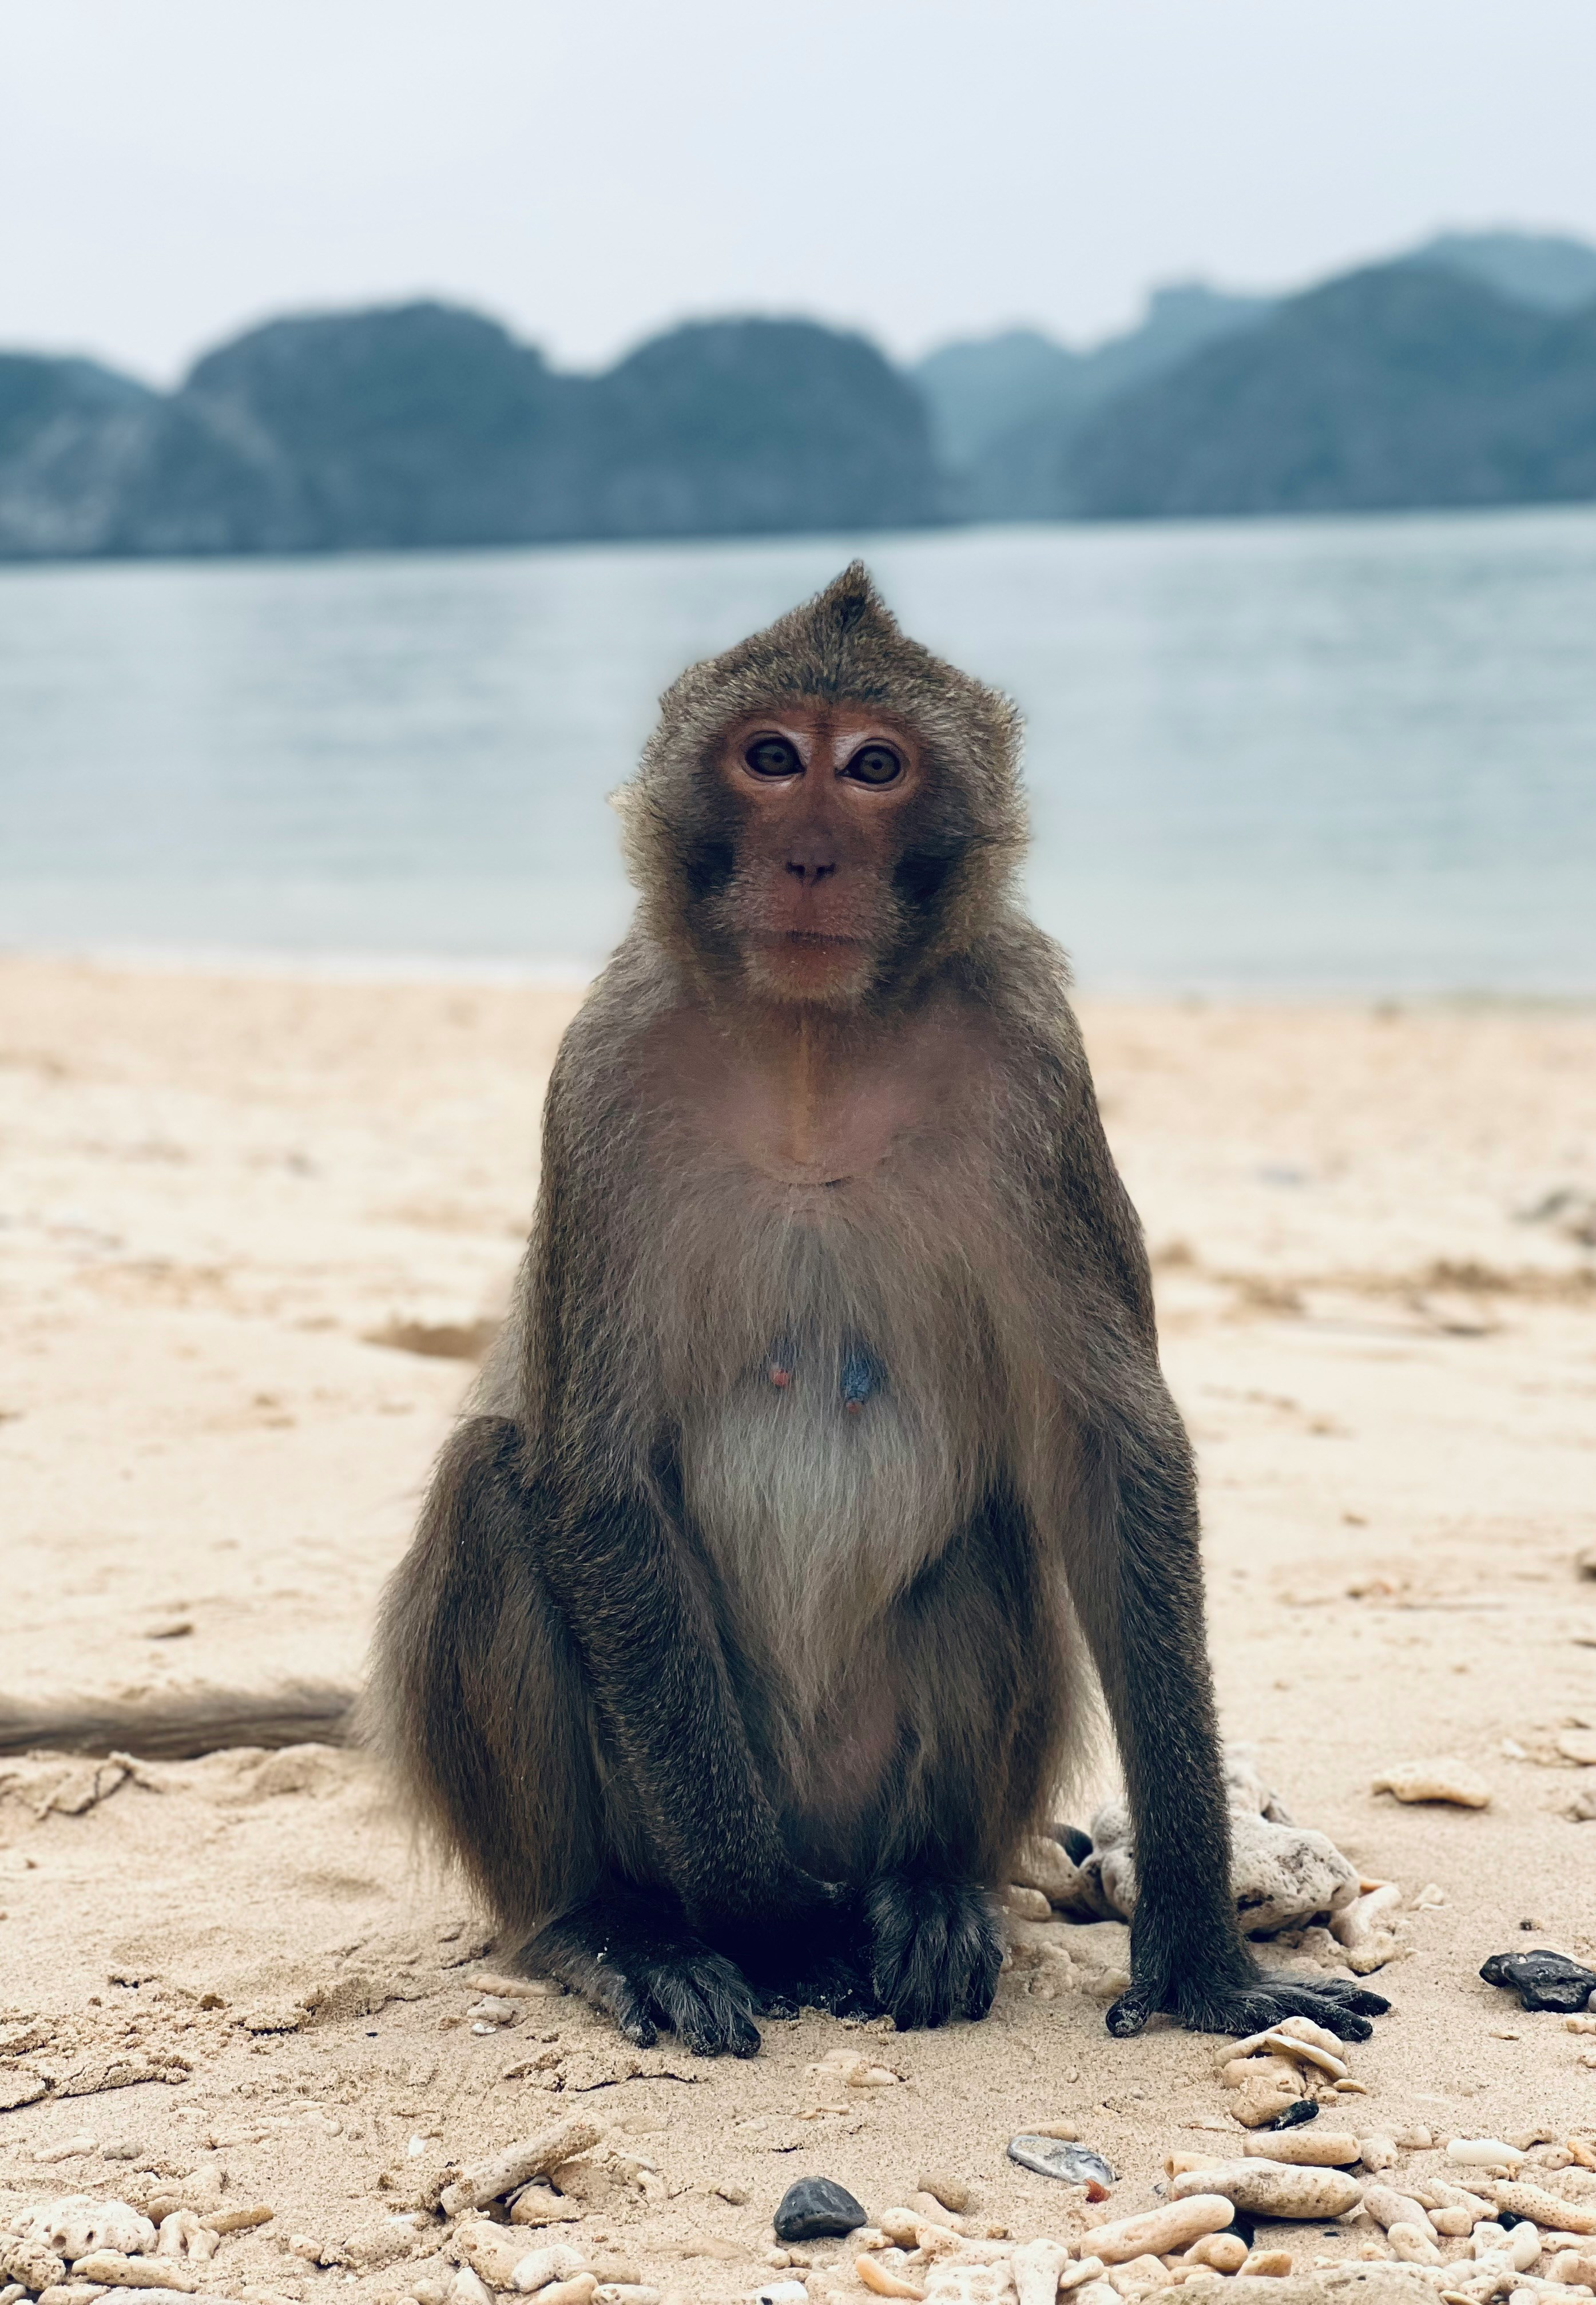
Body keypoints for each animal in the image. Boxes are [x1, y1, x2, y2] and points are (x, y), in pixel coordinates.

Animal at [369, 563, 1389, 2057]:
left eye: (871, 767)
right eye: (770, 758)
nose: (807, 857)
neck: (812, 1053)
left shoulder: (1034, 1066)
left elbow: (1105, 1453)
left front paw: (1199, 1948)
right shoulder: (600, 1078)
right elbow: (591, 1479)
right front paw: (766, 1924)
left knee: (995, 1527)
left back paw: (925, 1892)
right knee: (495, 1490)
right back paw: (615, 1924)